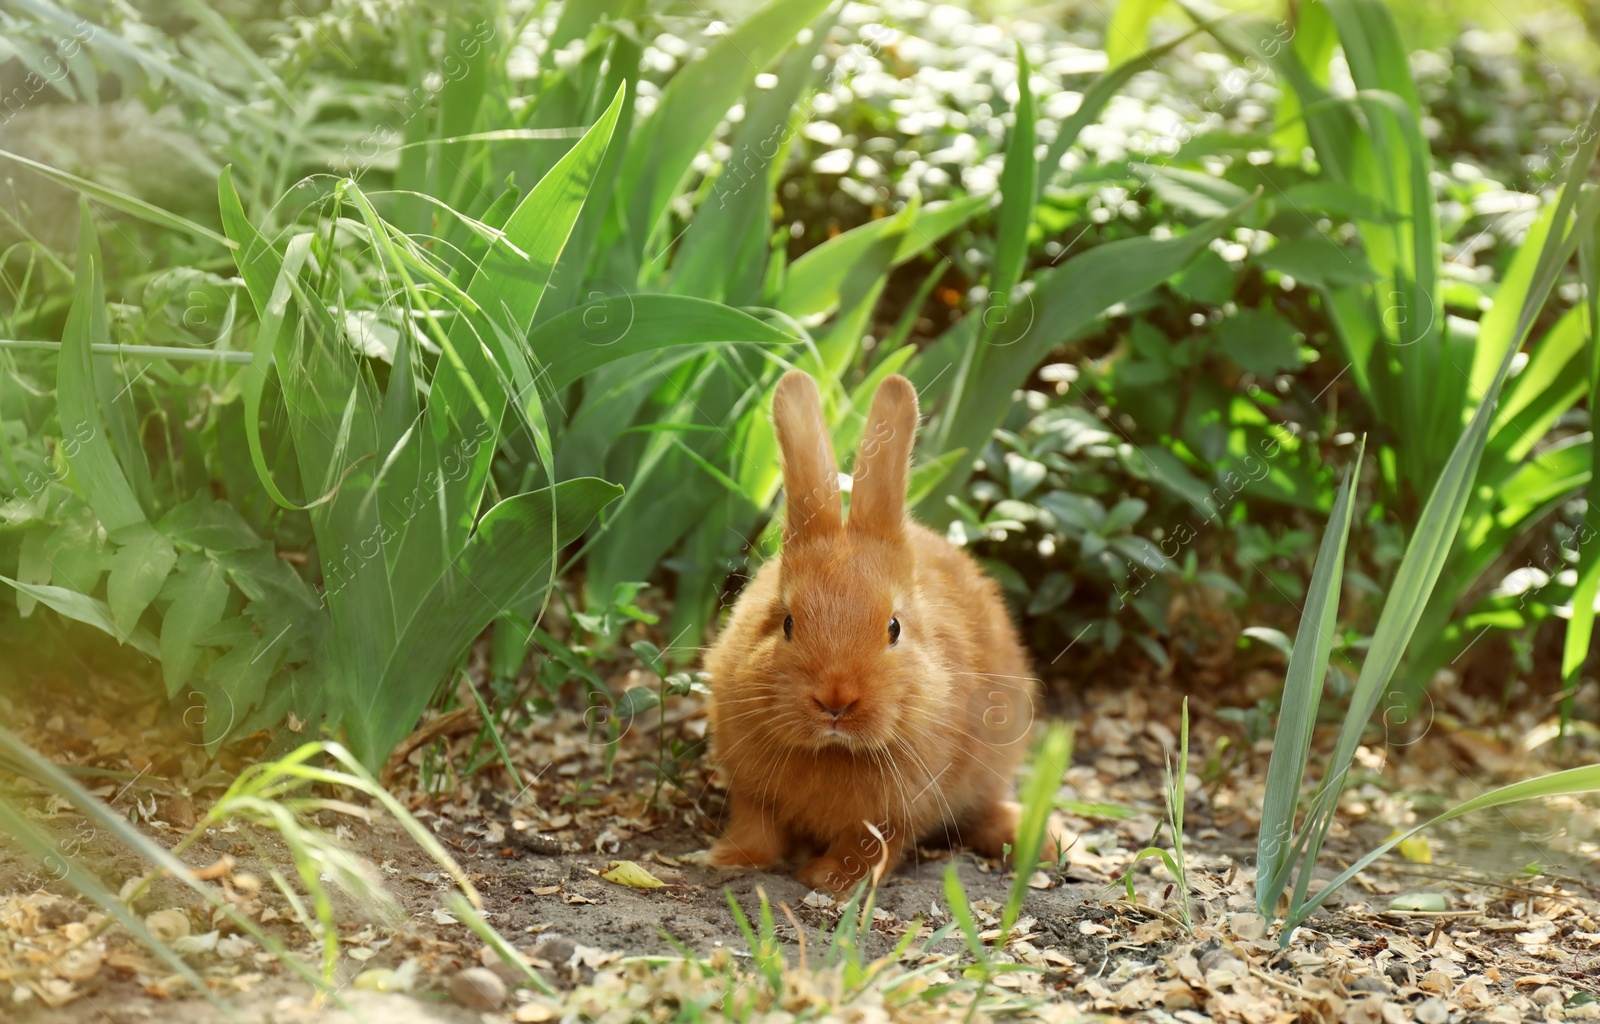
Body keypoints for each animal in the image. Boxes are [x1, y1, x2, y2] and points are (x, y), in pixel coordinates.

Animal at [707, 371, 1056, 889]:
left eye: (894, 627)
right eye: (787, 622)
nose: (835, 700)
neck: (834, 751)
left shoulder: (898, 812)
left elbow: (873, 846)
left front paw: (830, 879)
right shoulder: (752, 791)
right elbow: (757, 826)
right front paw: (729, 858)